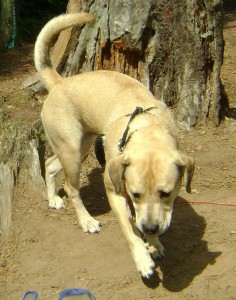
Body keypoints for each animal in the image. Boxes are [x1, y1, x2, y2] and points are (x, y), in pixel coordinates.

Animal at [34, 12, 194, 278]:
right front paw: (142, 258)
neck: (146, 127)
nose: (150, 229)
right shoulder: (115, 191)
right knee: (71, 188)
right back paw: (86, 221)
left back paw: (53, 199)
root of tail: (58, 82)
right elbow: (130, 231)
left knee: (49, 163)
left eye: (166, 193)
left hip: (80, 146)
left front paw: (154, 243)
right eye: (135, 193)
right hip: (73, 153)